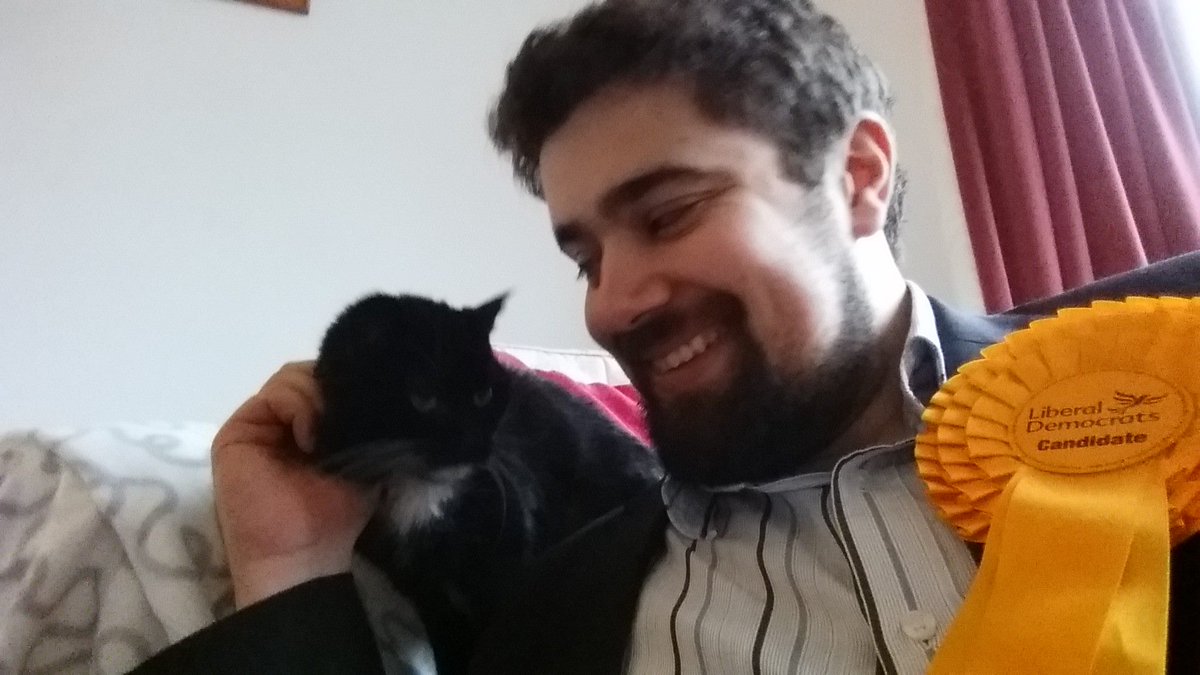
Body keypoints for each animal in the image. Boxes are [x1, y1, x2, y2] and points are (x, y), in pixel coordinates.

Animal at [311, 292, 662, 675]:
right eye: (423, 398)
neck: (424, 494)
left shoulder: (507, 570)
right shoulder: (428, 596)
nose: (475, 445)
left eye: (484, 395)